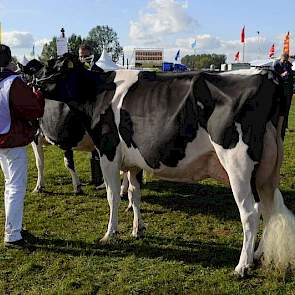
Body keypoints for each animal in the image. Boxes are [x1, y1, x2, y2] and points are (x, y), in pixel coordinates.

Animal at [37, 54, 295, 278]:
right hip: (266, 173)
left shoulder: (108, 152)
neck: (98, 93)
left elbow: (113, 196)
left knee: (250, 212)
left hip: (239, 166)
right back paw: (258, 254)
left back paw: (243, 265)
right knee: (268, 209)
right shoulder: (134, 161)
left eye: (52, 66)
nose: (33, 82)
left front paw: (110, 233)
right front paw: (137, 229)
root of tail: (267, 76)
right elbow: (134, 194)